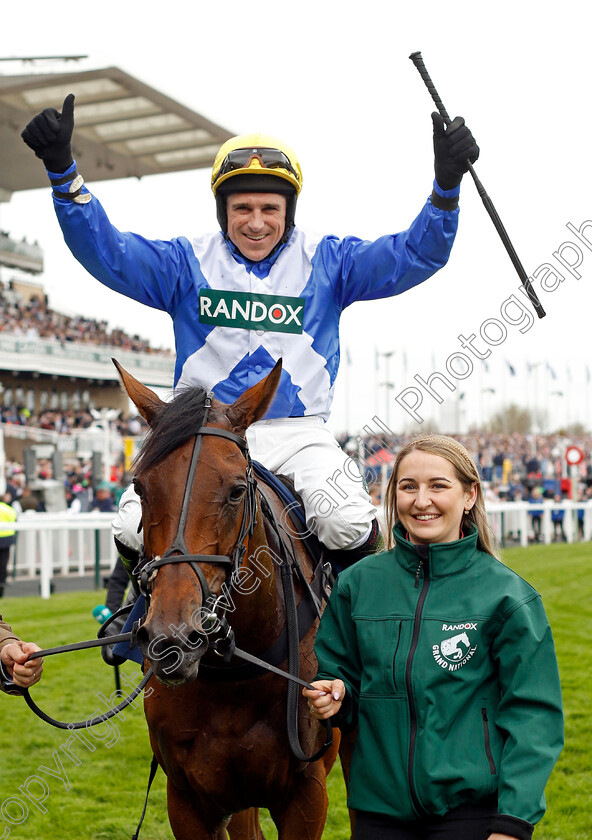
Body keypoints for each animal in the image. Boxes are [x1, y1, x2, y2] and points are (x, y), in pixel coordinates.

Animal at [114, 360, 340, 840]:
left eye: (236, 490)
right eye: (140, 488)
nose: (173, 640)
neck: (238, 673)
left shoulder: (307, 794)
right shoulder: (189, 799)